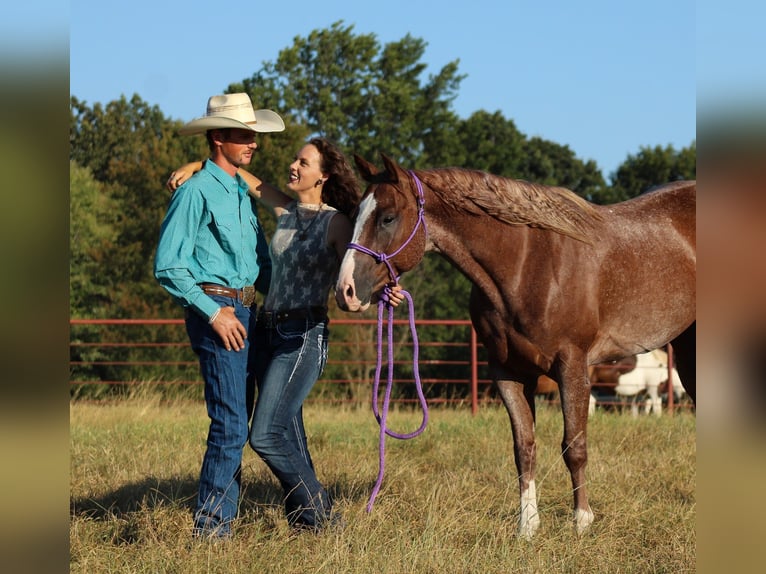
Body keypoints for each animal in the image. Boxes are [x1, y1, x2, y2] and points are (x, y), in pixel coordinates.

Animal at [335, 154, 696, 539]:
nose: (345, 291)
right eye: (356, 215)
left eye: (387, 217)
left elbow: (574, 446)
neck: (526, 266)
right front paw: (527, 526)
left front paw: (581, 522)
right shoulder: (508, 373)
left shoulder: (572, 367)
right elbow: (524, 448)